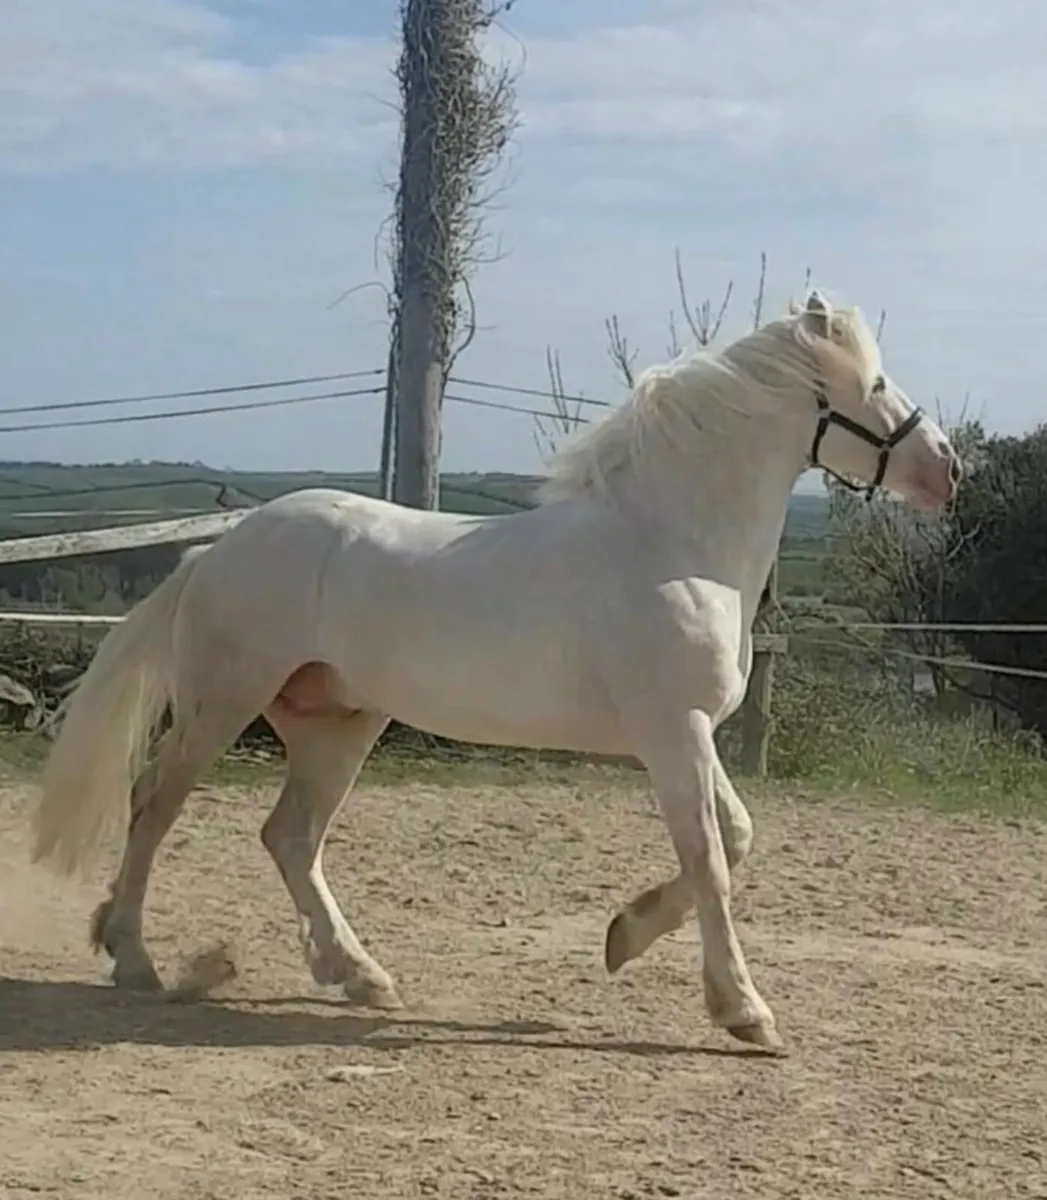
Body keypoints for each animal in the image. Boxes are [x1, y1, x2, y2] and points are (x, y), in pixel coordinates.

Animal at [28, 290, 961, 1050]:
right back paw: (134, 958)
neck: (674, 544)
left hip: (338, 721)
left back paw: (358, 975)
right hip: (225, 701)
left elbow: (732, 840)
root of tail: (216, 551)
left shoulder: (690, 732)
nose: (946, 469)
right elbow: (708, 856)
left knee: (289, 836)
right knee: (153, 807)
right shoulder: (671, 732)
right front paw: (743, 1012)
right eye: (876, 384)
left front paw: (622, 936)